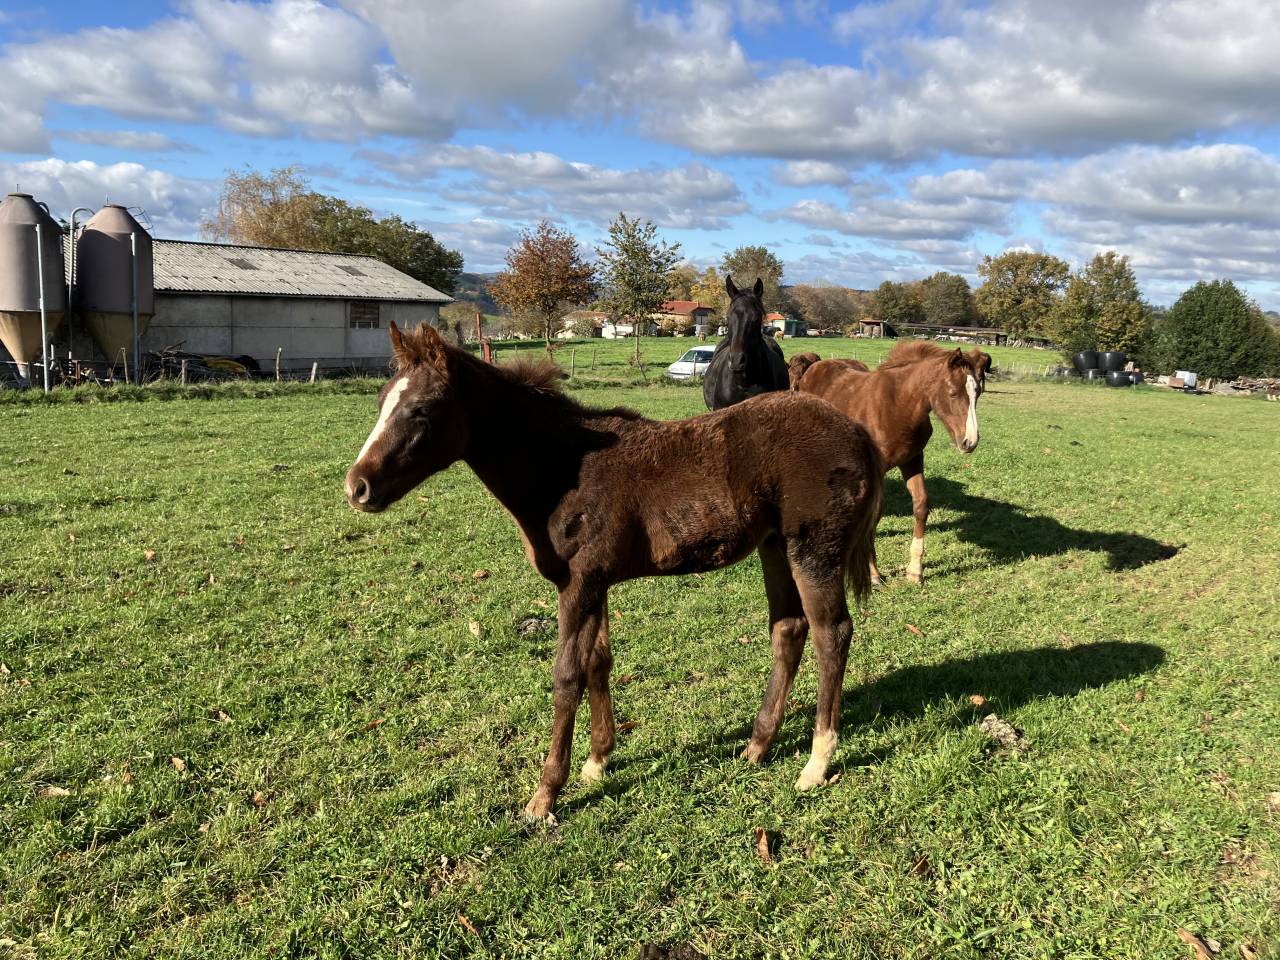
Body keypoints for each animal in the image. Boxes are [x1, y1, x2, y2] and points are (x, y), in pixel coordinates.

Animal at [345, 322, 883, 821]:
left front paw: (546, 793)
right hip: (774, 547)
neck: (564, 469)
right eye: (381, 401)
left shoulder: (578, 584)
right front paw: (598, 760)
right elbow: (599, 662)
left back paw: (816, 763)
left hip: (812, 549)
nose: (357, 487)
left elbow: (567, 677)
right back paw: (757, 746)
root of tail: (859, 432)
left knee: (832, 633)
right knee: (788, 629)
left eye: (422, 409)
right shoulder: (595, 582)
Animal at [790, 341, 991, 586]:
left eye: (978, 392)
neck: (898, 406)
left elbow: (921, 504)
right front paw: (873, 573)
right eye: (953, 393)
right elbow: (875, 513)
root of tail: (813, 367)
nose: (970, 442)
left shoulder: (913, 459)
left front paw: (915, 570)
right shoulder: (877, 469)